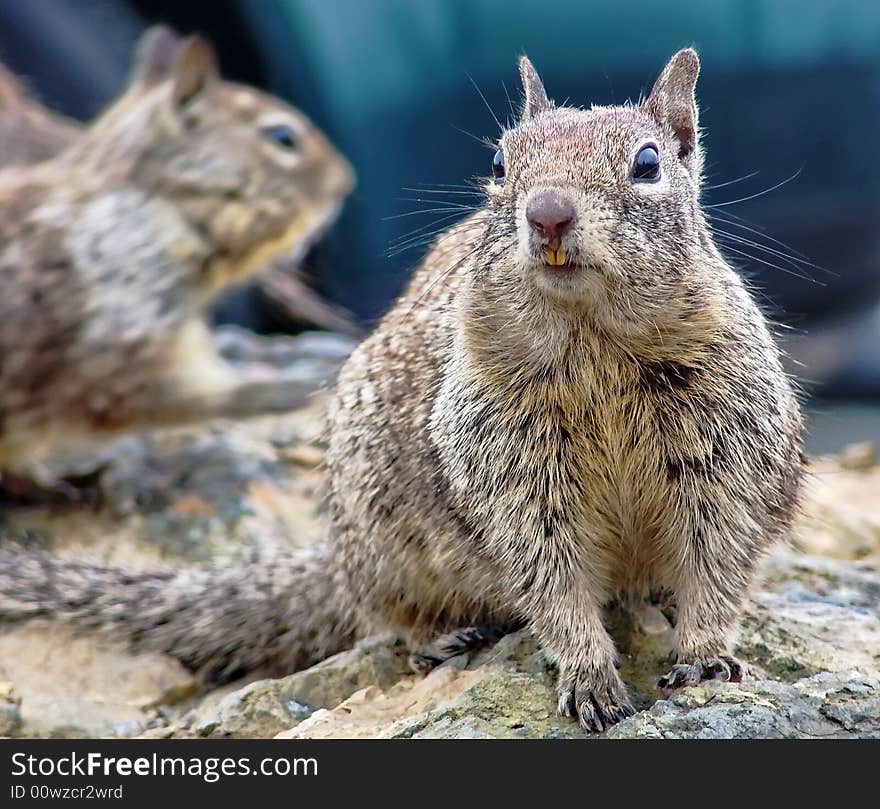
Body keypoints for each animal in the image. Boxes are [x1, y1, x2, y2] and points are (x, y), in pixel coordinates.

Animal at [0, 28, 354, 470]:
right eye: (283, 138)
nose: (348, 182)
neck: (164, 206)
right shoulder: (128, 336)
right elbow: (202, 396)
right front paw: (301, 387)